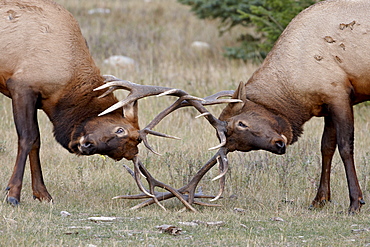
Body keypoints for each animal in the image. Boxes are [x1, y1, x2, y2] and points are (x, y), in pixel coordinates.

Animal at [0, 0, 237, 206]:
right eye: (120, 129)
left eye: (117, 155)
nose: (87, 145)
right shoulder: (22, 86)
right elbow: (28, 138)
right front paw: (13, 194)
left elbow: (36, 142)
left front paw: (42, 194)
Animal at [104, 0, 370, 213]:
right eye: (239, 146)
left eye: (241, 123)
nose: (279, 144)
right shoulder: (327, 104)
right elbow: (326, 147)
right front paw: (319, 200)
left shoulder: (338, 94)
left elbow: (345, 147)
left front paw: (355, 202)